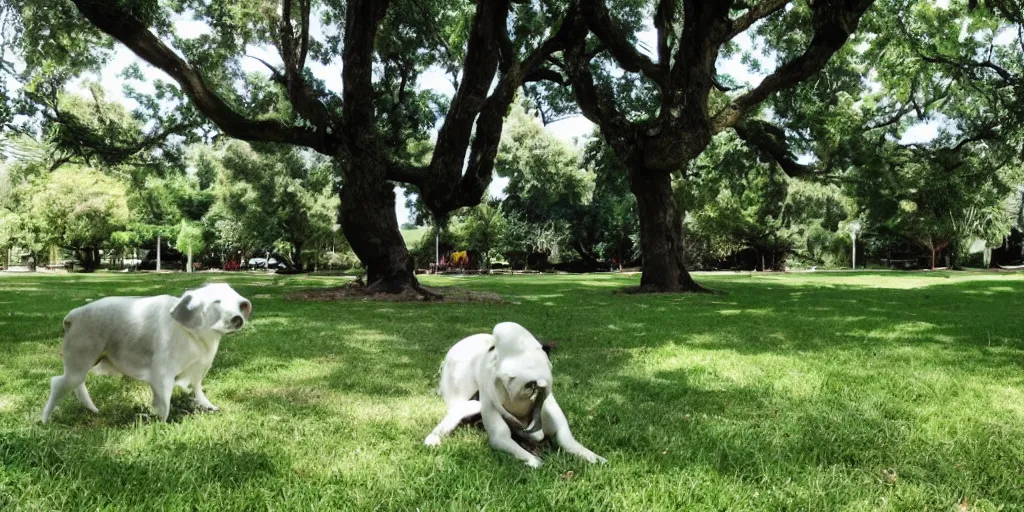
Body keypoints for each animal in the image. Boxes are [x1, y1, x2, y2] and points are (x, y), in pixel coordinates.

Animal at [42, 282, 253, 421]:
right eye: (217, 302)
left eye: (239, 305)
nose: (238, 319)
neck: (192, 332)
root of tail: (73, 316)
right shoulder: (162, 372)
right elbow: (164, 404)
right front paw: (161, 423)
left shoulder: (197, 367)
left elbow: (198, 389)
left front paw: (210, 407)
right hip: (79, 360)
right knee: (58, 383)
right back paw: (45, 420)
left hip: (83, 363)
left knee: (77, 386)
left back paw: (93, 410)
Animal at [425, 321, 606, 468]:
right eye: (493, 349)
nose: (532, 381)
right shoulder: (496, 428)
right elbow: (528, 457)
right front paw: (534, 459)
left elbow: (567, 440)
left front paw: (592, 456)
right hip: (459, 393)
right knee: (458, 410)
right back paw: (433, 439)